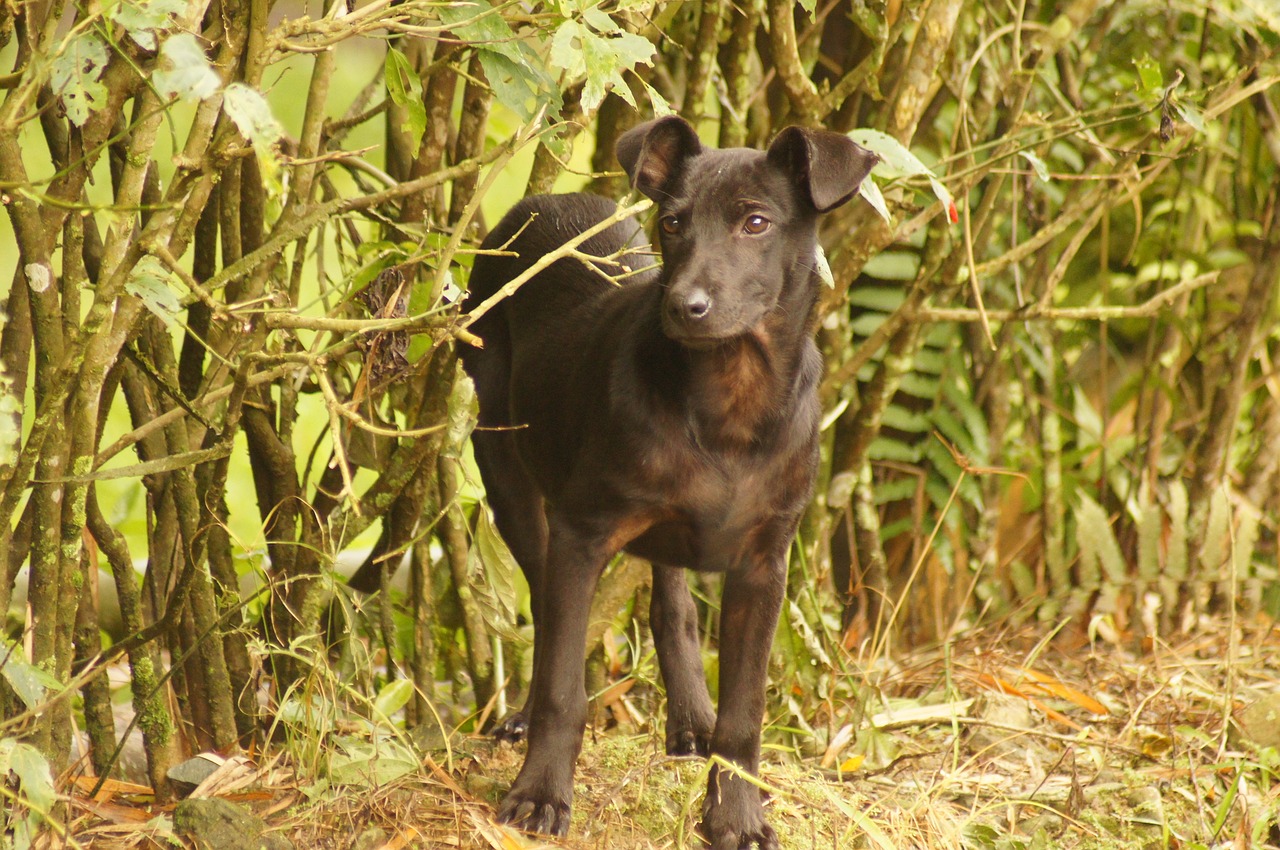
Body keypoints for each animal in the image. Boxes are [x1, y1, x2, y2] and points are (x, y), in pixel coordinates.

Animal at [463, 116, 880, 844]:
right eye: (674, 222)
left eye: (755, 222)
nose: (687, 306)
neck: (731, 395)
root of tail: (545, 200)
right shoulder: (582, 533)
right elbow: (562, 684)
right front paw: (540, 796)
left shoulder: (764, 563)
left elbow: (744, 715)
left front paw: (736, 817)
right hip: (505, 464)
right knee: (545, 604)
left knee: (673, 603)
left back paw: (690, 717)